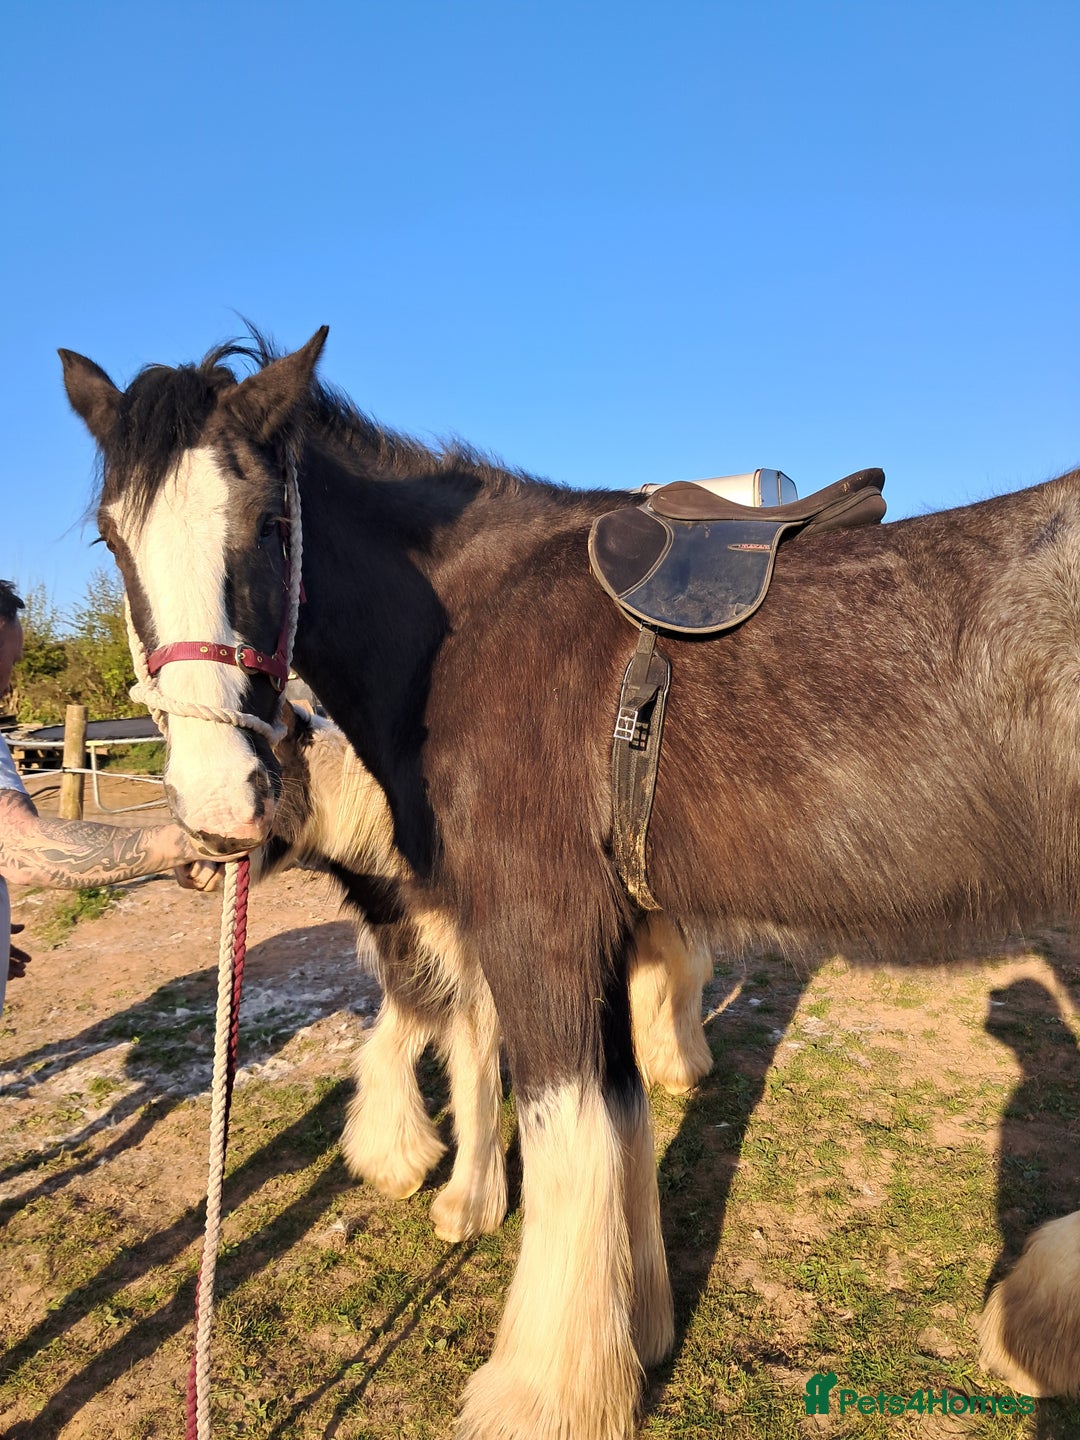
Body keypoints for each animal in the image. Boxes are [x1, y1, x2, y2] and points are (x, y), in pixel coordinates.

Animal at [249, 700, 712, 1242]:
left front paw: (466, 1206)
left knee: (687, 970)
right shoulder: (420, 968)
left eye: (260, 765)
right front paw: (398, 1166)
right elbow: (385, 1050)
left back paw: (680, 1065)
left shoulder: (478, 974)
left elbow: (472, 1073)